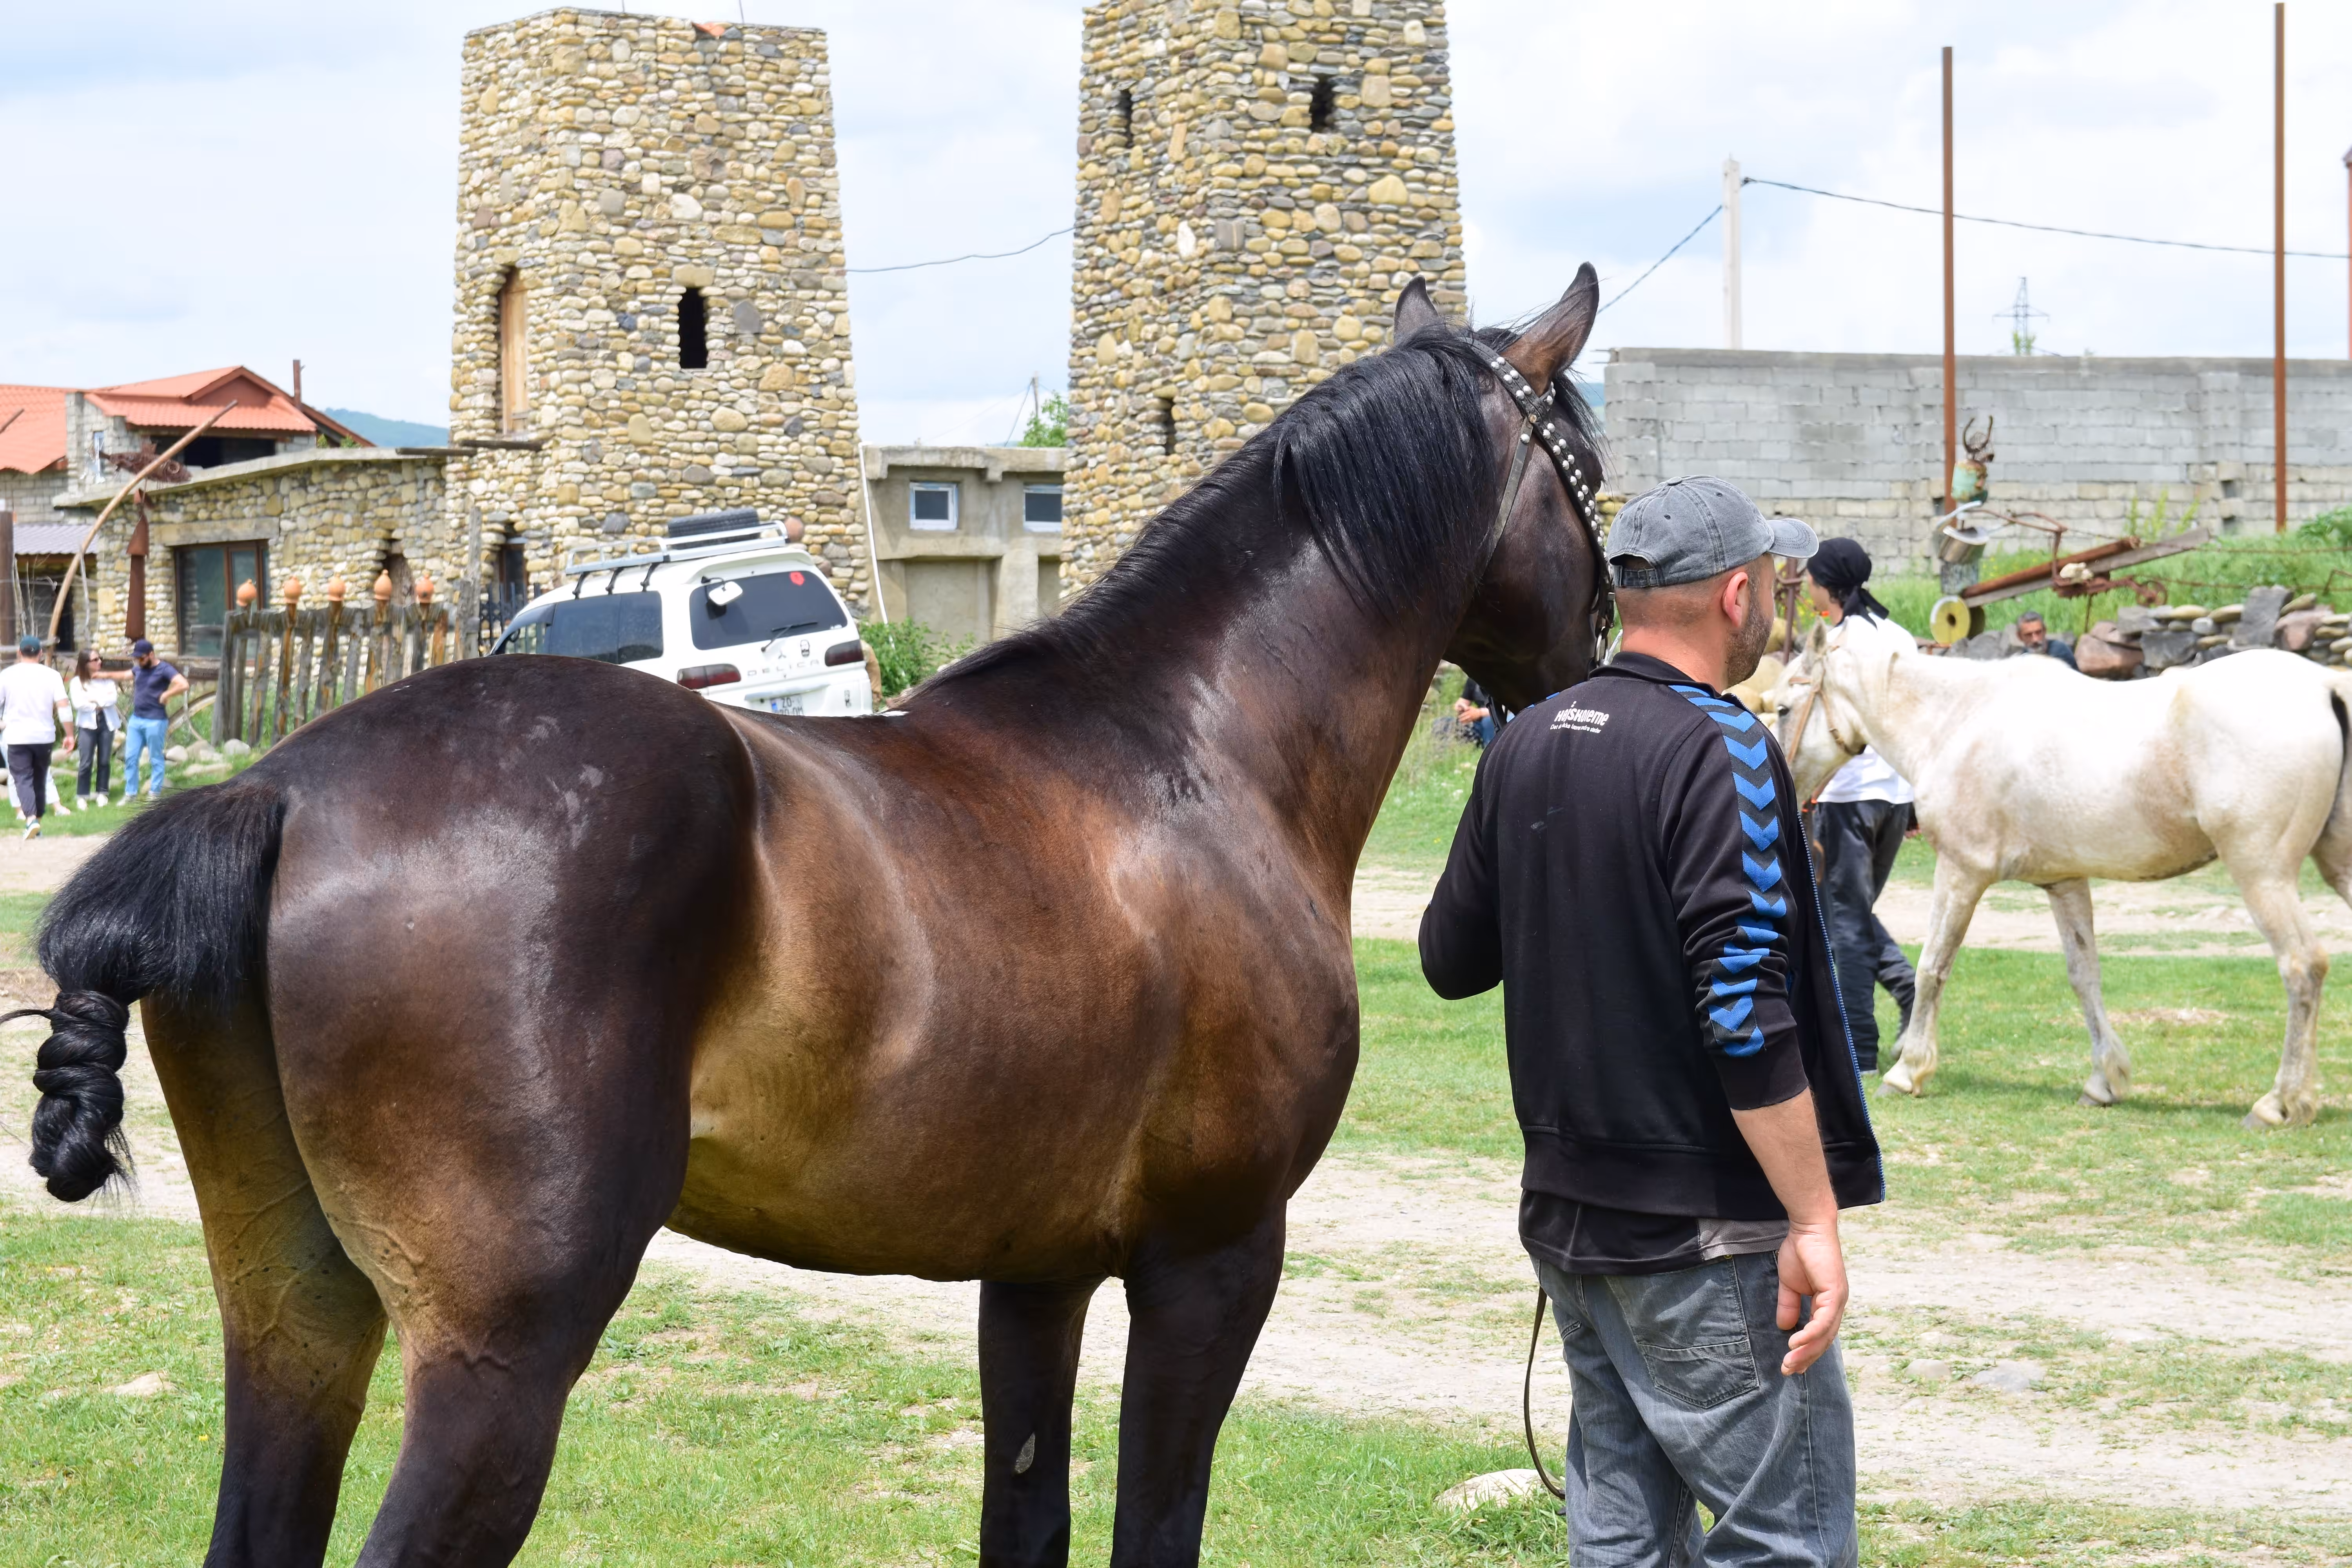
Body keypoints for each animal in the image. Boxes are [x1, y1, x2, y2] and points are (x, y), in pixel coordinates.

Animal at [16, 270, 1611, 1567]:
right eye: (1585, 468)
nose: (1596, 656)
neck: (1193, 749)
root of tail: (281, 789)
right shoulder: (1211, 1262)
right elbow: (1151, 1525)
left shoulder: (1033, 1276)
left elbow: (1026, 1516)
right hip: (496, 1363)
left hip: (297, 1318)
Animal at [1772, 625, 2352, 1128]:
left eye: (1782, 707)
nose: (1786, 787)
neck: (1957, 722)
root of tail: (2324, 685)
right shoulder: (2065, 883)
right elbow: (2084, 975)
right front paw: (2105, 1082)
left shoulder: (1961, 871)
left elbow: (1932, 967)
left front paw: (1907, 1070)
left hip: (2262, 874)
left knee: (2303, 966)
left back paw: (2279, 1103)